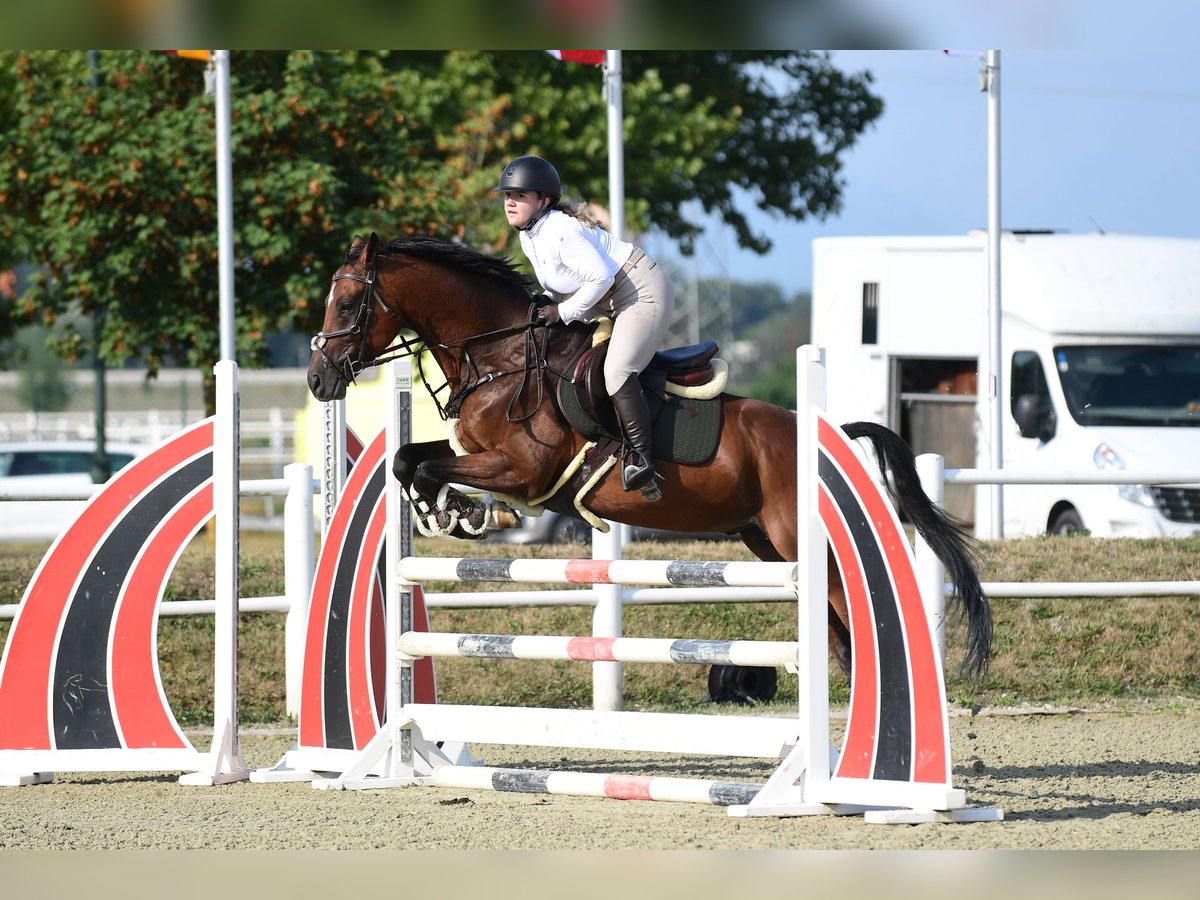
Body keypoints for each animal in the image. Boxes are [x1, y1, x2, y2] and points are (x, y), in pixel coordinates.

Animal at [309, 236, 993, 681]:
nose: (318, 379)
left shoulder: (523, 469)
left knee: (853, 621)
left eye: (346, 305)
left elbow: (429, 468)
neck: (502, 356)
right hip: (770, 546)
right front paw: (451, 512)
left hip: (801, 547)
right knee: (841, 642)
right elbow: (408, 459)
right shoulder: (475, 451)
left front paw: (465, 514)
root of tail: (825, 434)